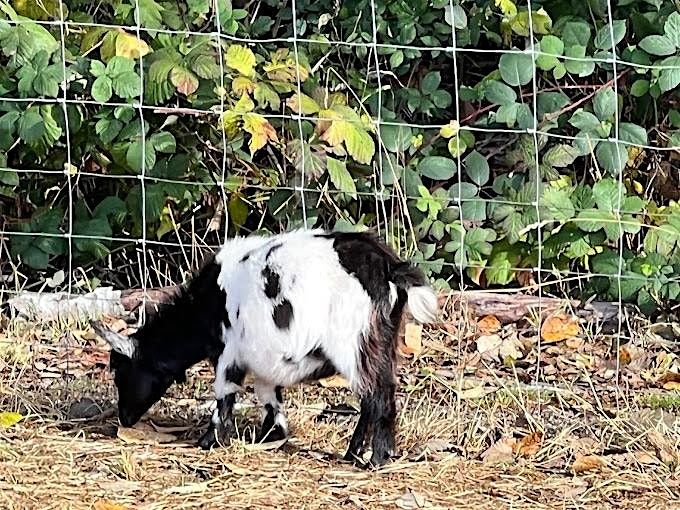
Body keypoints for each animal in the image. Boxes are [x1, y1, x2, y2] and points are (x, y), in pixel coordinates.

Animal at [91, 230, 436, 466]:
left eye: (121, 373)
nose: (124, 419)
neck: (206, 303)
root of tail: (389, 267)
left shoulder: (229, 352)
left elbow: (225, 394)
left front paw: (210, 440)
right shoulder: (264, 356)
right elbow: (269, 394)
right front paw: (272, 435)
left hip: (355, 344)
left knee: (377, 396)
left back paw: (375, 459)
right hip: (382, 343)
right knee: (376, 395)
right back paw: (354, 453)